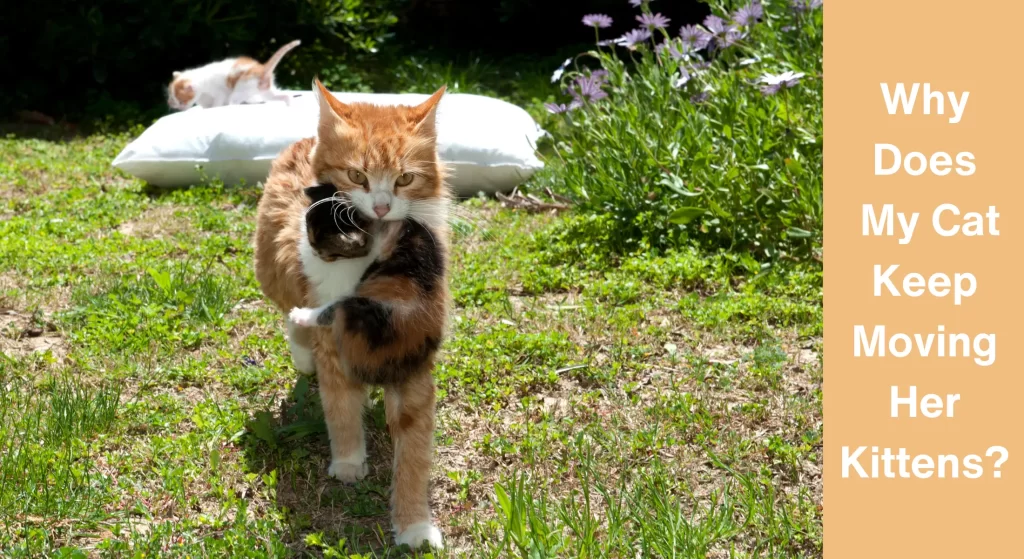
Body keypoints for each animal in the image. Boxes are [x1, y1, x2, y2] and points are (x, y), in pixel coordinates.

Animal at [167, 38, 301, 109]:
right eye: (171, 97)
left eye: (180, 100)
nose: (171, 104)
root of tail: (261, 69)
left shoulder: (219, 93)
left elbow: (216, 104)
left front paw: (214, 108)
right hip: (265, 91)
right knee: (284, 96)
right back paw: (290, 106)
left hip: (241, 90)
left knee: (234, 104)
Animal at [251, 78, 448, 548]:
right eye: (357, 175)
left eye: (405, 178)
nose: (380, 208)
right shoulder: (331, 334)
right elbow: (339, 406)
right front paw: (348, 460)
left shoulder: (415, 361)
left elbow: (413, 453)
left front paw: (414, 526)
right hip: (271, 267)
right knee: (291, 312)